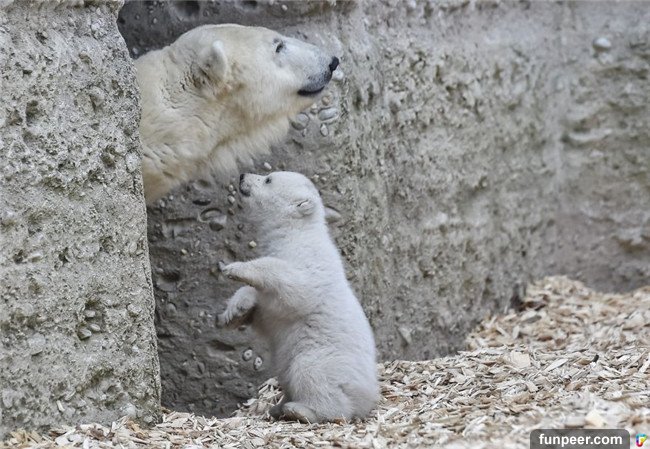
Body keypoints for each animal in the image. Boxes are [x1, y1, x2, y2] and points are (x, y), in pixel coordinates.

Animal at [217, 171, 379, 423]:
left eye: (268, 179)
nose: (243, 176)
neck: (297, 231)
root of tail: (368, 397)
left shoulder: (308, 259)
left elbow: (296, 288)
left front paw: (235, 268)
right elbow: (262, 311)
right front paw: (233, 313)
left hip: (324, 357)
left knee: (313, 375)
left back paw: (298, 410)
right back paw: (278, 407)